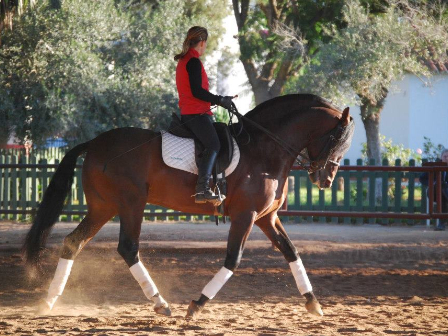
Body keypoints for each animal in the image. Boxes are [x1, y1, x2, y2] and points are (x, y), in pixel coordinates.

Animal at [23, 93, 354, 318]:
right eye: (337, 139)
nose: (325, 178)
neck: (265, 149)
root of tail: (93, 143)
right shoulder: (245, 216)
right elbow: (233, 259)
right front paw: (196, 305)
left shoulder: (266, 217)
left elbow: (291, 251)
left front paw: (313, 303)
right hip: (130, 203)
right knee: (128, 248)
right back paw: (160, 303)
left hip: (103, 207)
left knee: (73, 242)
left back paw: (50, 301)